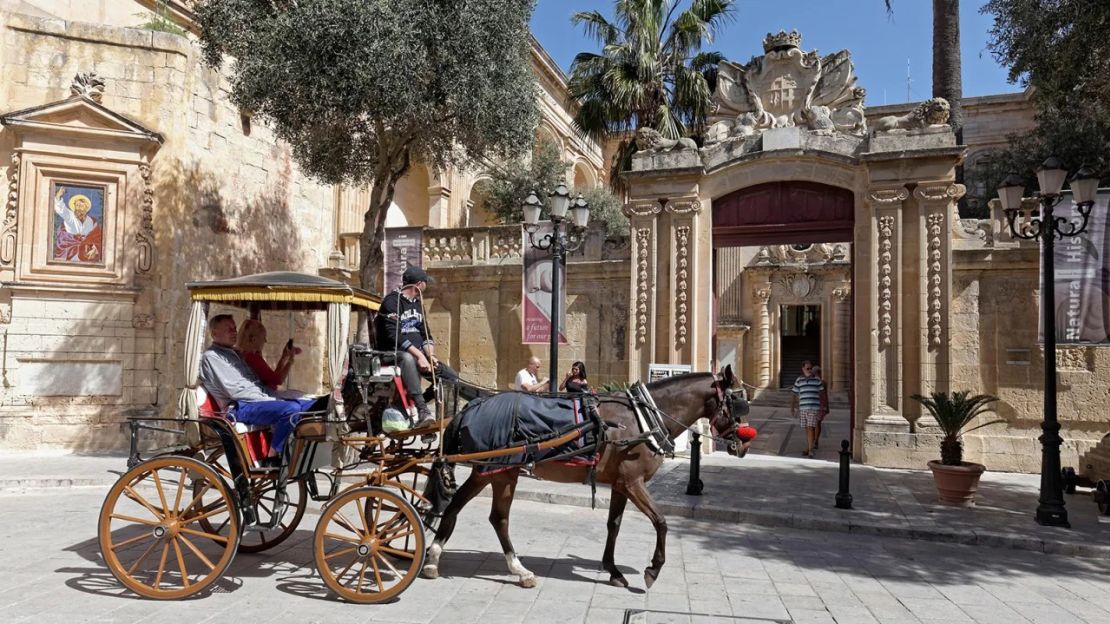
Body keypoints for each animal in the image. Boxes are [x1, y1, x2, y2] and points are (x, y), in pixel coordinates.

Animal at [419, 361, 750, 586]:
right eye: (738, 401)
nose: (745, 442)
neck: (642, 417)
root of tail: (469, 407)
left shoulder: (620, 483)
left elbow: (614, 524)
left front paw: (613, 570)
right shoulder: (633, 482)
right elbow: (661, 521)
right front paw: (653, 568)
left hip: (494, 471)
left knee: (474, 511)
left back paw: (448, 560)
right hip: (495, 471)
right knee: (482, 514)